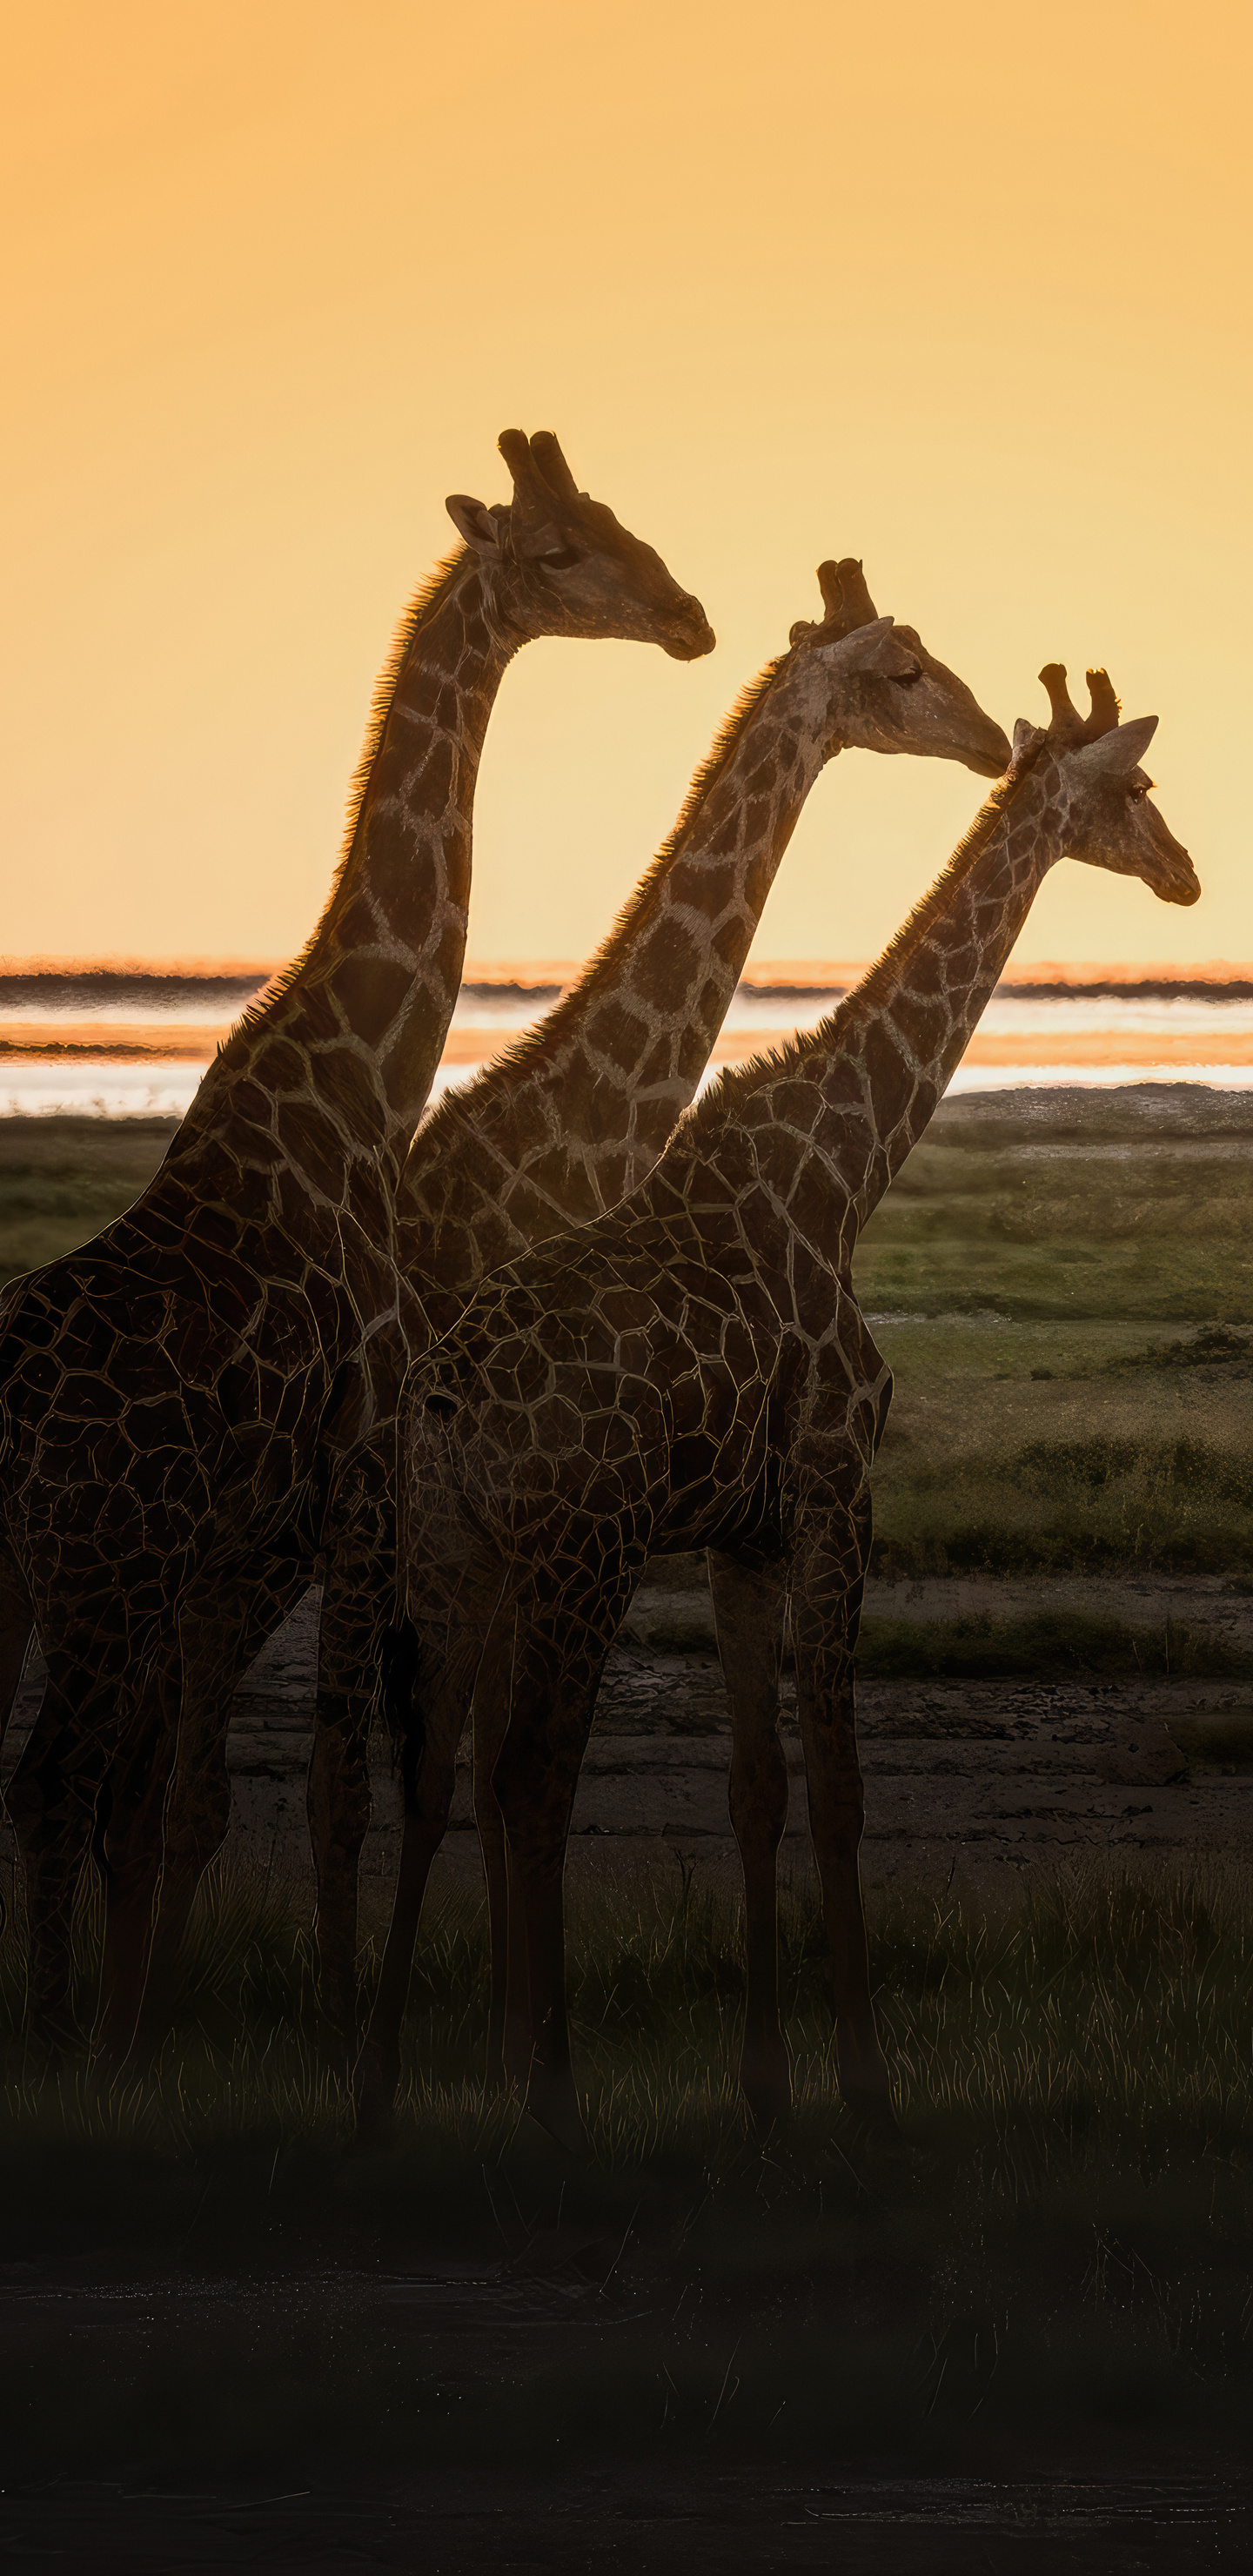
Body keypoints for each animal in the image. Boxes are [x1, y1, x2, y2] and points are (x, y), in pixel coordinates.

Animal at [0, 428, 713, 2061]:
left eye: (620, 516)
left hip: (47, 1577)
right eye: (562, 549)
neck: (356, 1086)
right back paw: (56, 2045)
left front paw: (165, 2039)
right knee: (54, 1779)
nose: (690, 615)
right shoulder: (354, 1467)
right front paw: (330, 2046)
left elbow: (211, 1799)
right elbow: (318, 1790)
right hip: (102, 1564)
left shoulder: (277, 1519)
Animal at [97, 558, 1010, 2071]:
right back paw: (163, 2025)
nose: (995, 742)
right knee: (191, 1748)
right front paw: (495, 2034)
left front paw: (490, 2024)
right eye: (902, 670)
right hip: (282, 1529)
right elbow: (474, 1767)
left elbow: (474, 1769)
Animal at [360, 664, 1199, 2146]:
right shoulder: (834, 1487)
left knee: (431, 1764)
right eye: (1137, 789)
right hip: (579, 1553)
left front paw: (767, 2085)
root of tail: (447, 1401)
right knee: (529, 1772)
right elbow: (845, 1791)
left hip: (456, 1550)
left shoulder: (738, 1535)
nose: (1190, 876)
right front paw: (865, 2084)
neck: (848, 1167)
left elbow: (755, 1792)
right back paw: (552, 2094)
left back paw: (381, 2091)